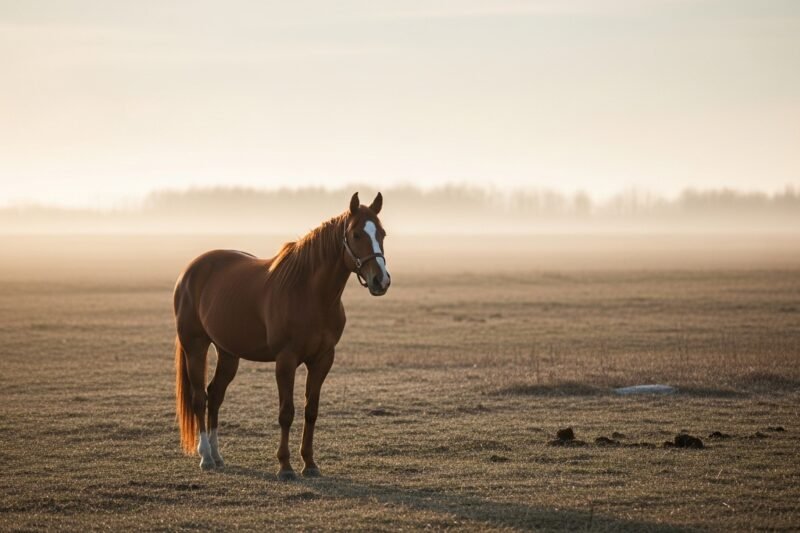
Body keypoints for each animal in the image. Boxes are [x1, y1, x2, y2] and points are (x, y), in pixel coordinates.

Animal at [173, 192, 390, 480]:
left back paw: (218, 456)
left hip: (228, 353)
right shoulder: (285, 360)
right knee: (200, 398)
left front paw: (310, 464)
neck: (309, 294)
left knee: (215, 394)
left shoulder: (322, 359)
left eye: (382, 234)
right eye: (356, 234)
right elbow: (286, 412)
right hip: (195, 347)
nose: (381, 280)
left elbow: (311, 411)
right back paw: (206, 456)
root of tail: (189, 271)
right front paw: (285, 466)